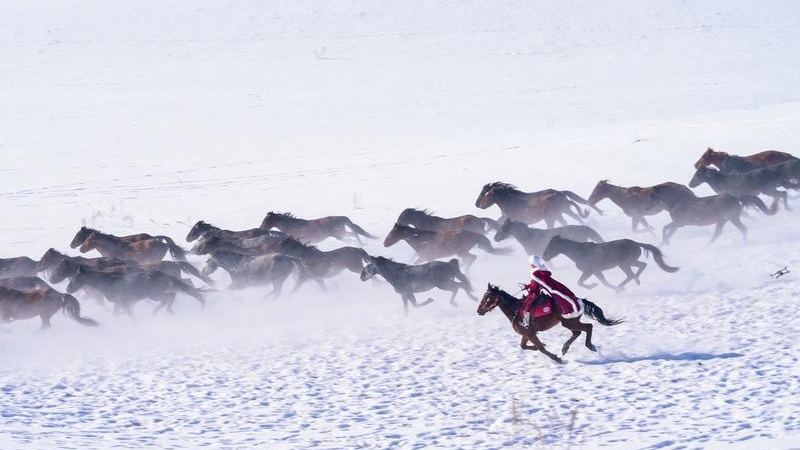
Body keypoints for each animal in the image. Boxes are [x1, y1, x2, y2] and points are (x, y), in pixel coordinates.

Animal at [65, 265, 208, 317]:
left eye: (76, 277)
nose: (68, 289)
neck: (108, 281)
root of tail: (165, 275)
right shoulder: (123, 303)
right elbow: (122, 312)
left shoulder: (120, 301)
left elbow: (122, 313)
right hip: (154, 295)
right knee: (170, 297)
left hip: (154, 295)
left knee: (170, 296)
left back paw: (160, 312)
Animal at [383, 223, 513, 270]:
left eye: (392, 233)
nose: (385, 243)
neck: (420, 240)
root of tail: (473, 234)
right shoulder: (423, 257)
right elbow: (415, 263)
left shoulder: (428, 258)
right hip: (461, 253)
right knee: (469, 259)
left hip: (461, 252)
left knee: (472, 258)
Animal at [476, 284, 621, 364]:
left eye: (487, 297)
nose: (479, 311)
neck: (515, 310)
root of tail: (578, 300)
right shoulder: (526, 334)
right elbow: (524, 346)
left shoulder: (530, 333)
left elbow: (541, 348)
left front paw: (557, 359)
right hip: (569, 322)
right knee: (578, 332)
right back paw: (565, 348)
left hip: (569, 322)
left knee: (587, 327)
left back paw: (589, 346)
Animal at [542, 235, 679, 291]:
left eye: (552, 246)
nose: (544, 256)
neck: (579, 252)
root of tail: (636, 244)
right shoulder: (597, 271)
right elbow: (605, 282)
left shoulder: (589, 271)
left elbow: (580, 282)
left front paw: (592, 286)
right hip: (628, 263)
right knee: (641, 266)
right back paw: (634, 282)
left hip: (624, 264)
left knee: (632, 274)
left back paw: (625, 285)